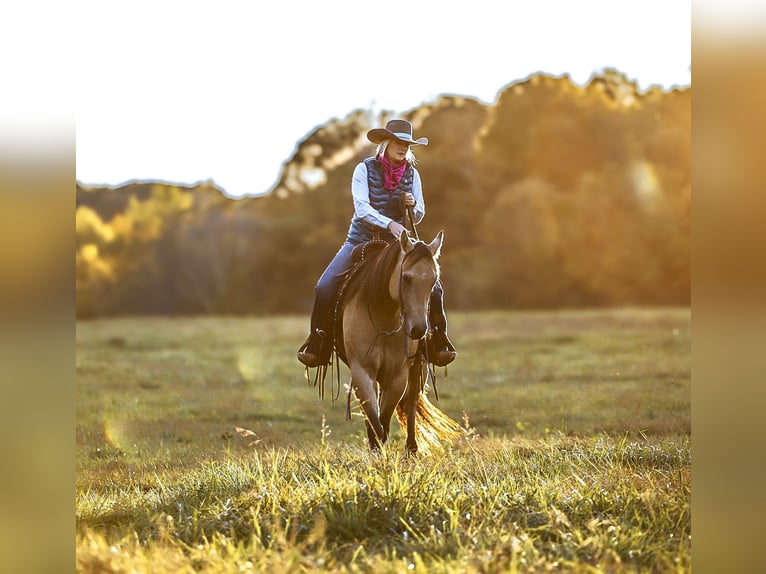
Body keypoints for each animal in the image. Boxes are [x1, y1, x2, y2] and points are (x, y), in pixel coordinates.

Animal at [320, 232, 460, 456]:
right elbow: (374, 418)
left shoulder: (397, 376)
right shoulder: (362, 371)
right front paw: (375, 451)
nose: (418, 330)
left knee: (411, 404)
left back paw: (412, 449)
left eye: (433, 281)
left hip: (417, 368)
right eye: (406, 277)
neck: (383, 316)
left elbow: (384, 420)